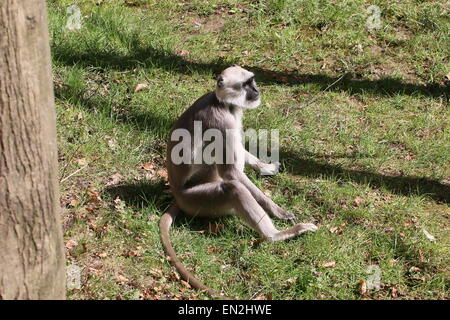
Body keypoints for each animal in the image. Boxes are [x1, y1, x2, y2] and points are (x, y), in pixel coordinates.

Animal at [160, 65, 318, 298]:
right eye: (246, 85)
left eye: (252, 81)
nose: (256, 90)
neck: (223, 103)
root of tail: (177, 196)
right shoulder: (222, 123)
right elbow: (231, 173)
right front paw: (278, 210)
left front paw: (266, 167)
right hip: (197, 201)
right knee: (232, 187)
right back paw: (276, 235)